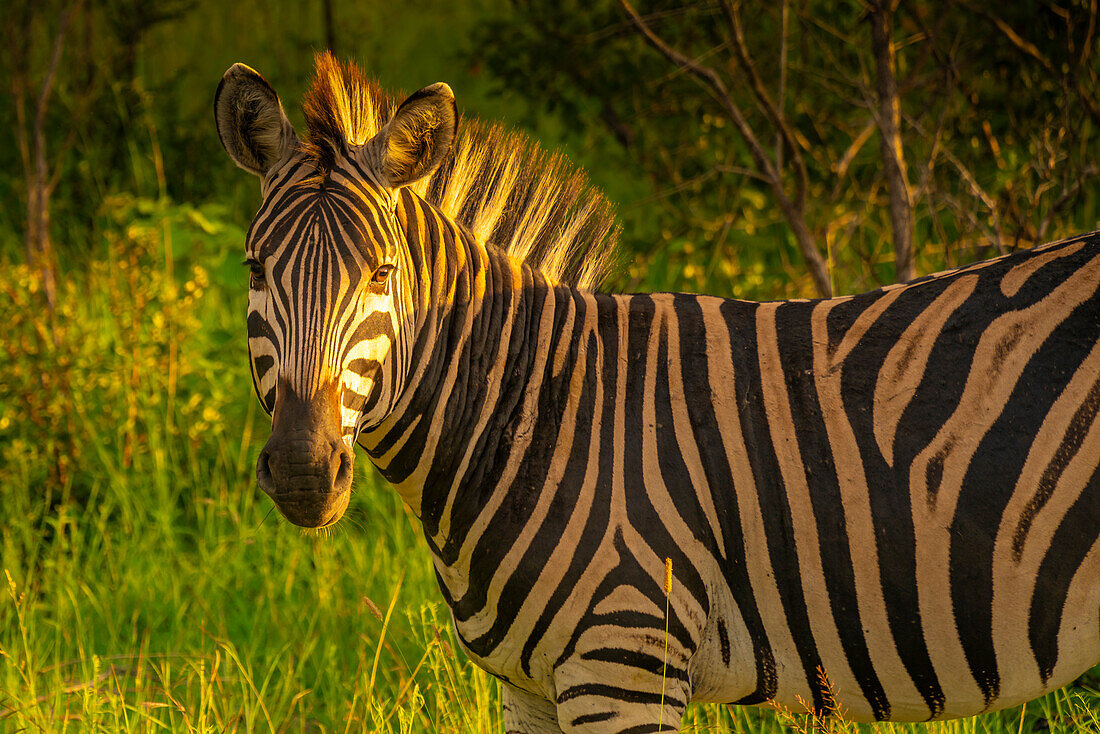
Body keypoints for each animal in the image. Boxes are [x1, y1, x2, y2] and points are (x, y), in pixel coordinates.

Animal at [214, 51, 1100, 730]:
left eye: (381, 275)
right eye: (255, 271)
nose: (303, 473)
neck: (541, 415)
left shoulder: (624, 666)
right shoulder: (531, 689)